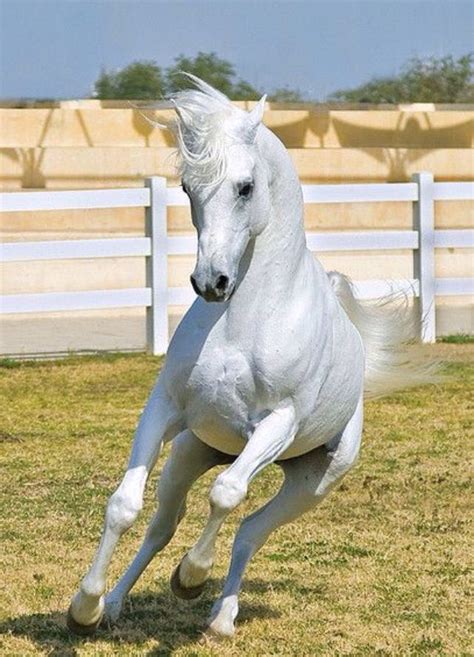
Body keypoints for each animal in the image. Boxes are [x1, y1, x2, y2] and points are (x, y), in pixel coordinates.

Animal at [67, 74, 430, 640]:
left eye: (245, 187)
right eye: (188, 189)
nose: (211, 281)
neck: (243, 323)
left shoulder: (278, 422)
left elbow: (227, 494)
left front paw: (191, 576)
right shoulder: (164, 409)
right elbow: (124, 505)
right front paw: (84, 606)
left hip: (310, 483)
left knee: (250, 530)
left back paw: (220, 615)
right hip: (192, 452)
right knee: (162, 527)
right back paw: (118, 604)